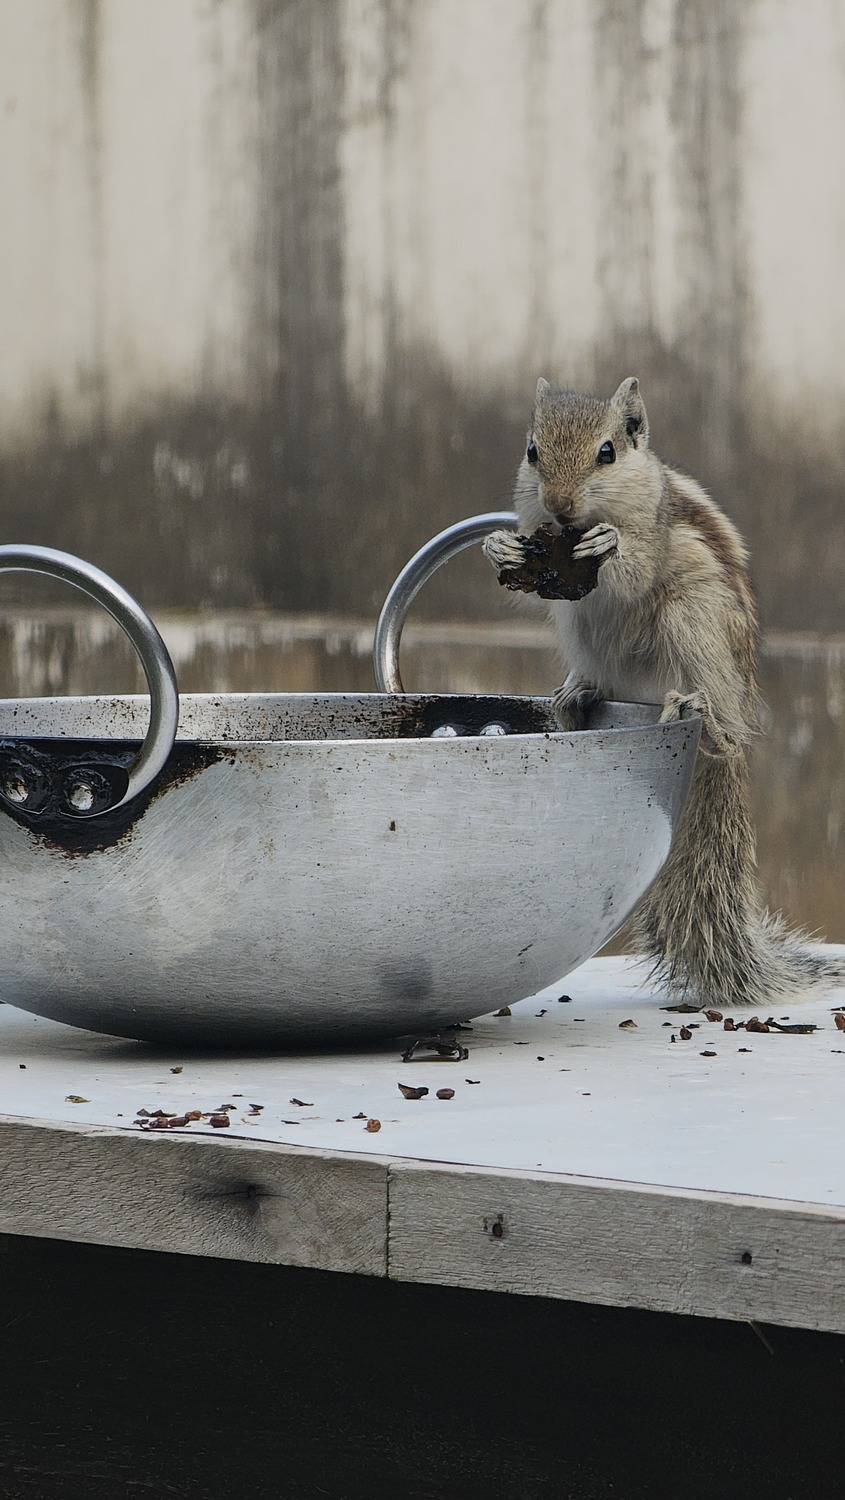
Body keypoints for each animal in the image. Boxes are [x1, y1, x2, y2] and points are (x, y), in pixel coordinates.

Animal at [483, 376, 843, 1008]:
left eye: (607, 452)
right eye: (532, 451)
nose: (560, 505)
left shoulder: (654, 536)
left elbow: (634, 567)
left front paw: (608, 544)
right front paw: (500, 546)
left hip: (692, 618)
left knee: (720, 723)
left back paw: (693, 707)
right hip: (581, 634)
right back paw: (575, 697)